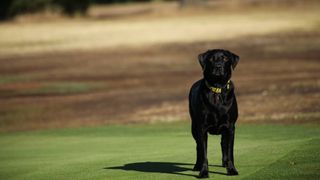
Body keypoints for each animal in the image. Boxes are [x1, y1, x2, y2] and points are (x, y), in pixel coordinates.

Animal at [189, 48, 239, 178]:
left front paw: (232, 170)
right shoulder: (202, 128)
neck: (217, 88)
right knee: (198, 147)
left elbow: (230, 151)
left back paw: (225, 163)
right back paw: (197, 166)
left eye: (225, 58)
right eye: (211, 59)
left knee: (223, 144)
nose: (218, 66)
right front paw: (203, 172)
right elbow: (204, 153)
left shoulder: (230, 127)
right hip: (194, 127)